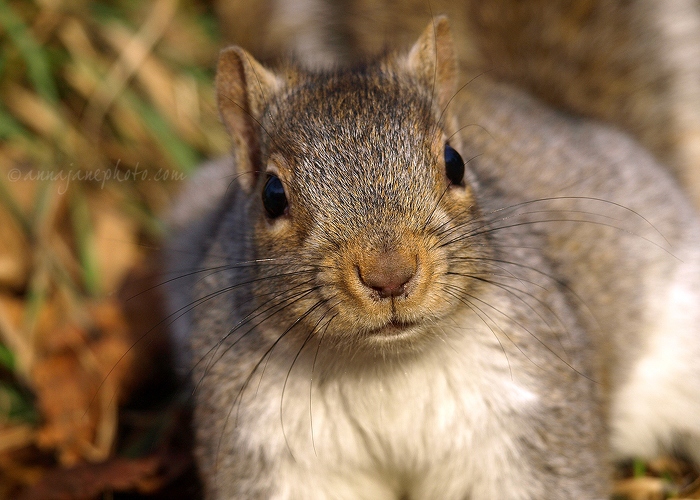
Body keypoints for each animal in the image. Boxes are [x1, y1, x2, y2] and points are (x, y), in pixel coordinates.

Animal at [167, 13, 700, 498]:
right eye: (272, 195)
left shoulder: (531, 411)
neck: (382, 368)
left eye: (455, 162)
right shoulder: (265, 441)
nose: (389, 275)